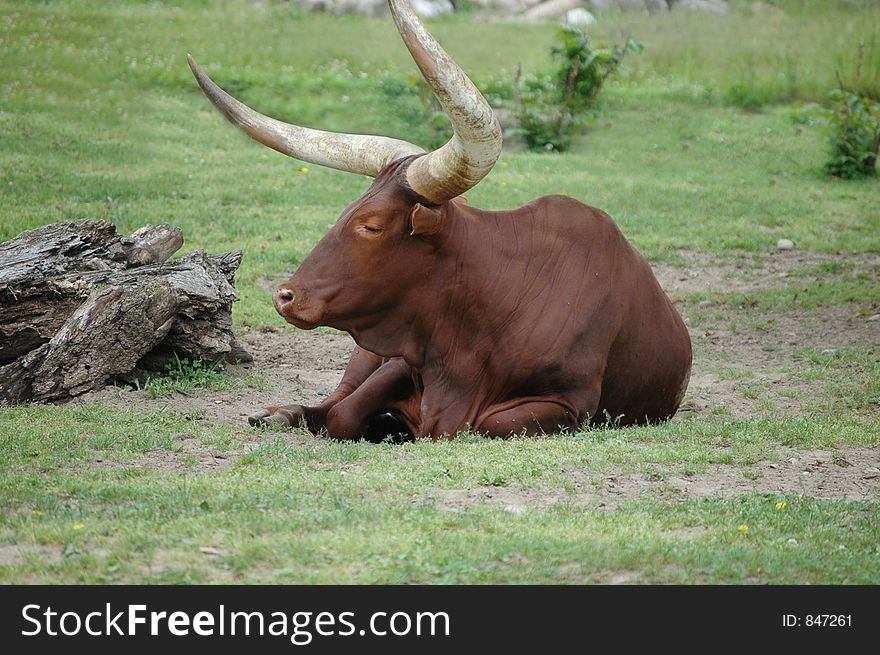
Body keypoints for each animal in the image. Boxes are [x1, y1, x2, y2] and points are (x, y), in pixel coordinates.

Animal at [189, 0, 692, 444]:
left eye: (371, 224)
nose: (286, 296)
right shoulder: (402, 358)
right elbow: (344, 414)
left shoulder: (570, 404)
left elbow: (479, 425)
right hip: (365, 356)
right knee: (333, 399)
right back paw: (279, 415)